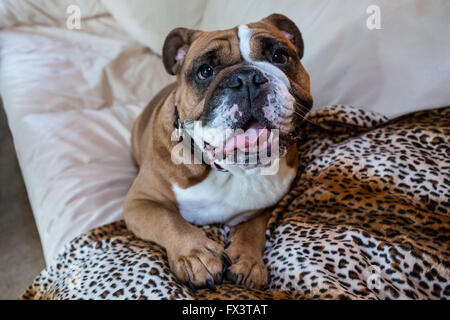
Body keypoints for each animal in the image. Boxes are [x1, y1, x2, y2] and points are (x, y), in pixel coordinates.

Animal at [123, 14, 312, 290]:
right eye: (205, 71)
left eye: (279, 56)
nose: (247, 78)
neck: (233, 170)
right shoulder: (140, 202)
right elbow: (170, 220)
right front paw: (196, 255)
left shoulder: (268, 205)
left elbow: (252, 228)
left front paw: (248, 260)